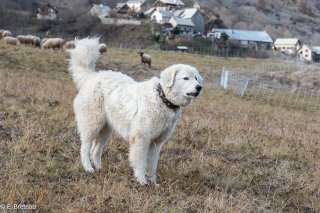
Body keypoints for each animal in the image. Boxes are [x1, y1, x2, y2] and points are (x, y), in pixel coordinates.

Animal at [68, 37, 202, 185]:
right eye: (185, 78)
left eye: (196, 78)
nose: (199, 87)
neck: (162, 98)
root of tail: (91, 77)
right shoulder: (141, 139)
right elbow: (141, 163)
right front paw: (142, 181)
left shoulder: (156, 143)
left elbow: (153, 165)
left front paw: (153, 183)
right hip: (92, 124)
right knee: (85, 147)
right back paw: (88, 168)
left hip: (106, 129)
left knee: (95, 150)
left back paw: (99, 169)